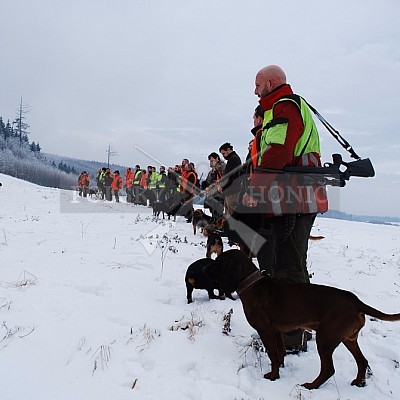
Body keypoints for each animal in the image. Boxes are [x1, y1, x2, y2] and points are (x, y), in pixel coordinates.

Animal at [203, 248, 400, 390]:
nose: (204, 268)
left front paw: (273, 376)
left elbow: (273, 353)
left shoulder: (265, 330)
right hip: (348, 339)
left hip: (325, 339)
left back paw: (312, 386)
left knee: (329, 369)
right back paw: (359, 381)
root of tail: (356, 301)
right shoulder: (277, 332)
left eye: (219, 262)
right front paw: (279, 370)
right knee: (362, 361)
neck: (252, 285)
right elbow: (280, 353)